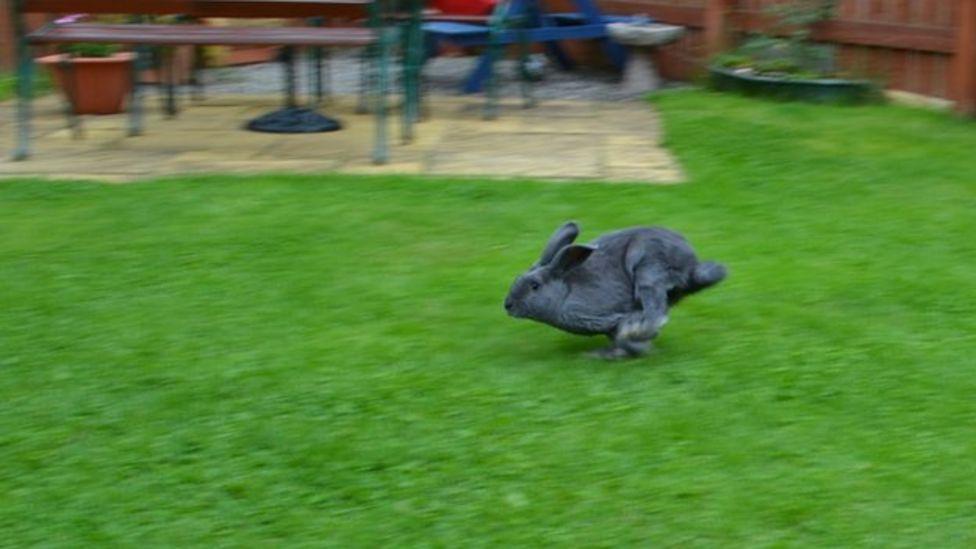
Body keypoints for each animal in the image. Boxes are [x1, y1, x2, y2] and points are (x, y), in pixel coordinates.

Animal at [504, 220, 724, 358]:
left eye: (535, 286)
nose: (507, 305)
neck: (565, 292)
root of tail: (691, 264)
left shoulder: (608, 315)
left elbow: (623, 333)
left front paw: (634, 349)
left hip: (648, 268)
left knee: (656, 311)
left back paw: (639, 329)